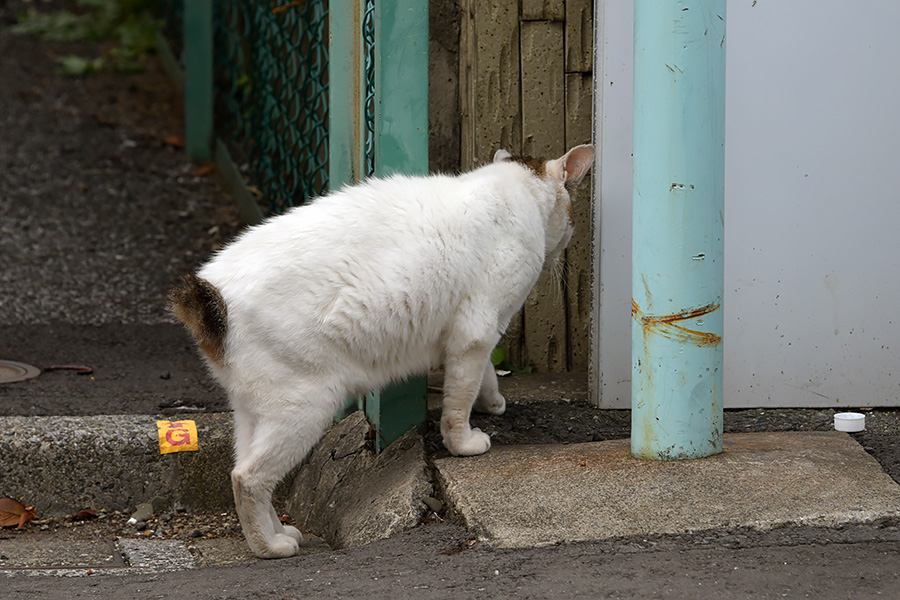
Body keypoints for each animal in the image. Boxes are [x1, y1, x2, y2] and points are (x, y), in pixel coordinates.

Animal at [171, 145, 592, 556]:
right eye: (573, 217)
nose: (570, 237)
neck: (514, 189)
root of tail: (211, 291)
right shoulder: (476, 331)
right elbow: (459, 401)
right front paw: (464, 442)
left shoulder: (473, 334)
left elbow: (484, 374)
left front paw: (492, 401)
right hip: (304, 407)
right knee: (248, 478)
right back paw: (270, 547)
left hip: (252, 412)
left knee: (242, 469)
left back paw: (281, 532)